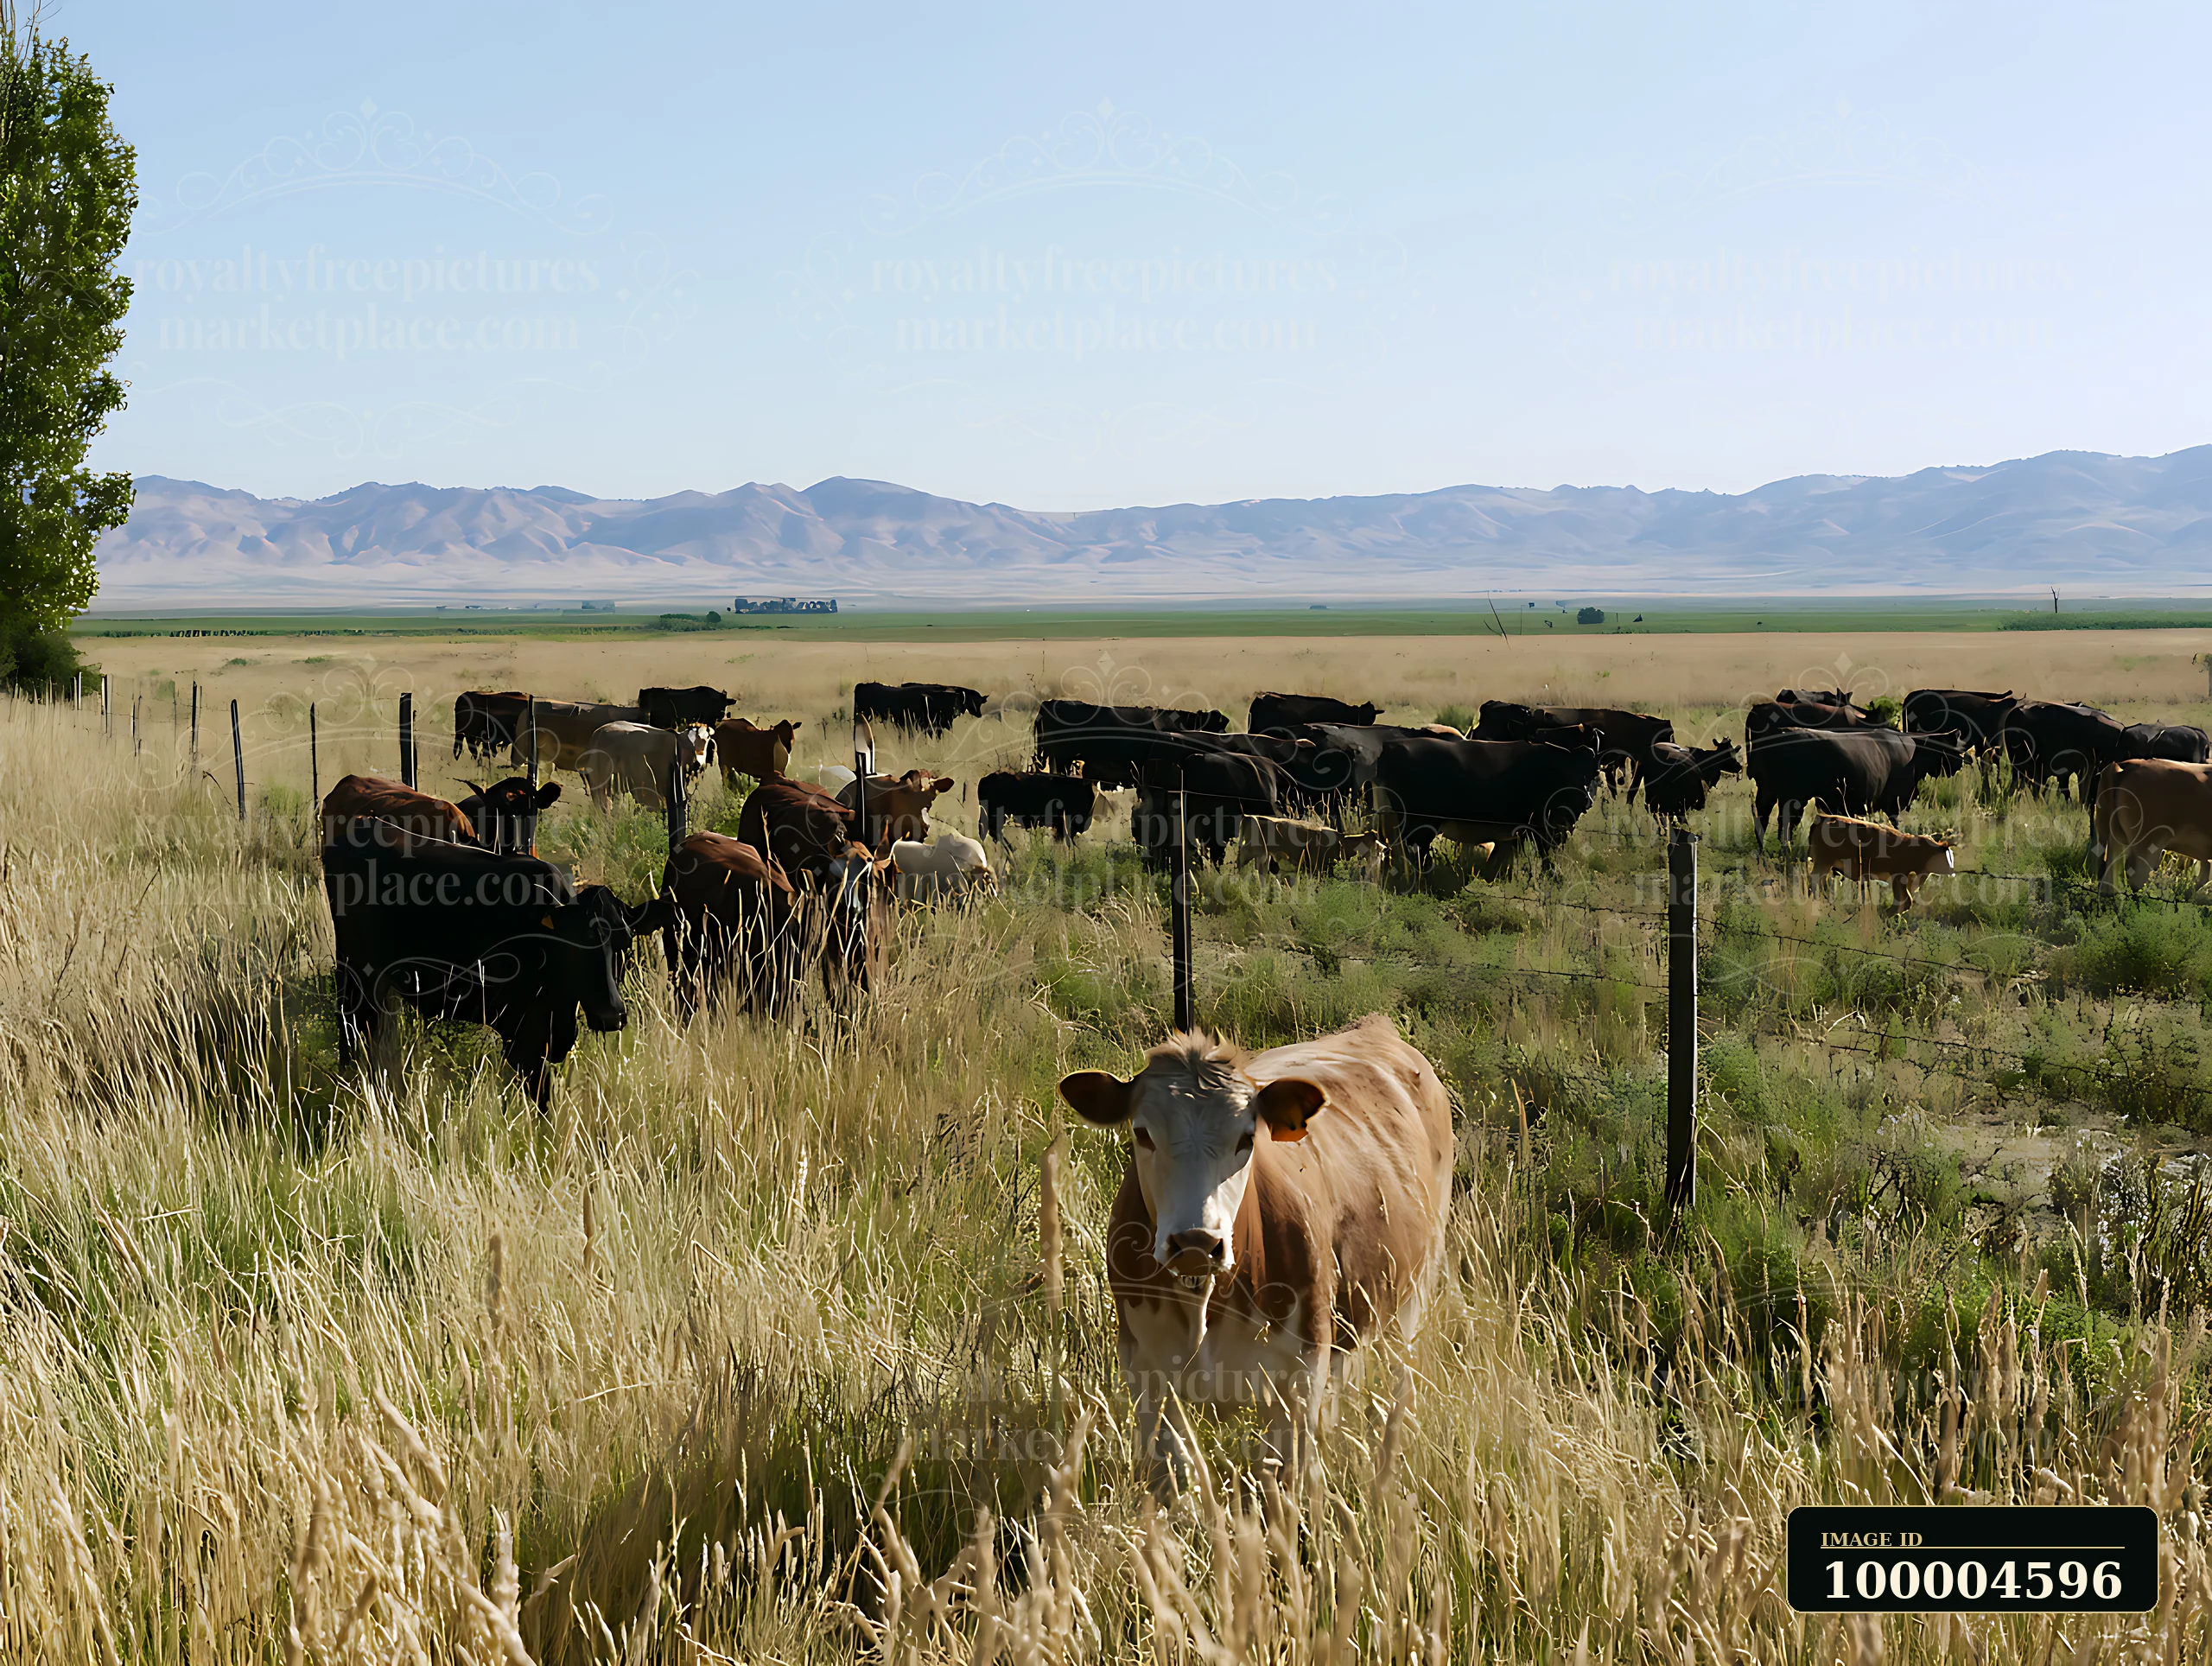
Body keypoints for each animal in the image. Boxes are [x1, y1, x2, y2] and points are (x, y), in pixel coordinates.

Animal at [320, 809, 668, 1112]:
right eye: (574, 948)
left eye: (624, 944)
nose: (612, 1015)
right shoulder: (521, 1032)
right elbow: (541, 1100)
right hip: (355, 967)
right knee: (352, 1022)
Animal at [1057, 1013, 1454, 1487]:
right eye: (1142, 1132)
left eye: (1246, 1138)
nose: (1196, 1242)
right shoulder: (1146, 1370)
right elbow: (1171, 1473)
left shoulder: (1300, 1375)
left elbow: (1284, 1478)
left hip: (1413, 1293)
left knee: (1397, 1381)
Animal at [1373, 733, 1603, 875]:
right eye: (1568, 774)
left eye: (1593, 773)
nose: (1586, 799)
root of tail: (1390, 747)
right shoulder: (1539, 826)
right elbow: (1543, 855)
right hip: (1418, 826)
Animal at [1747, 726, 1964, 848]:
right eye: (1955, 748)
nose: (1962, 763)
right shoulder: (1895, 801)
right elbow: (1896, 825)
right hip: (1792, 796)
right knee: (1784, 823)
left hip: (1769, 793)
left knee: (1764, 821)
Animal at [1807, 814, 1957, 910]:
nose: (1952, 871)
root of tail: (1822, 818)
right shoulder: (1898, 878)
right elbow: (1904, 901)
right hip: (1823, 863)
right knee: (1815, 882)